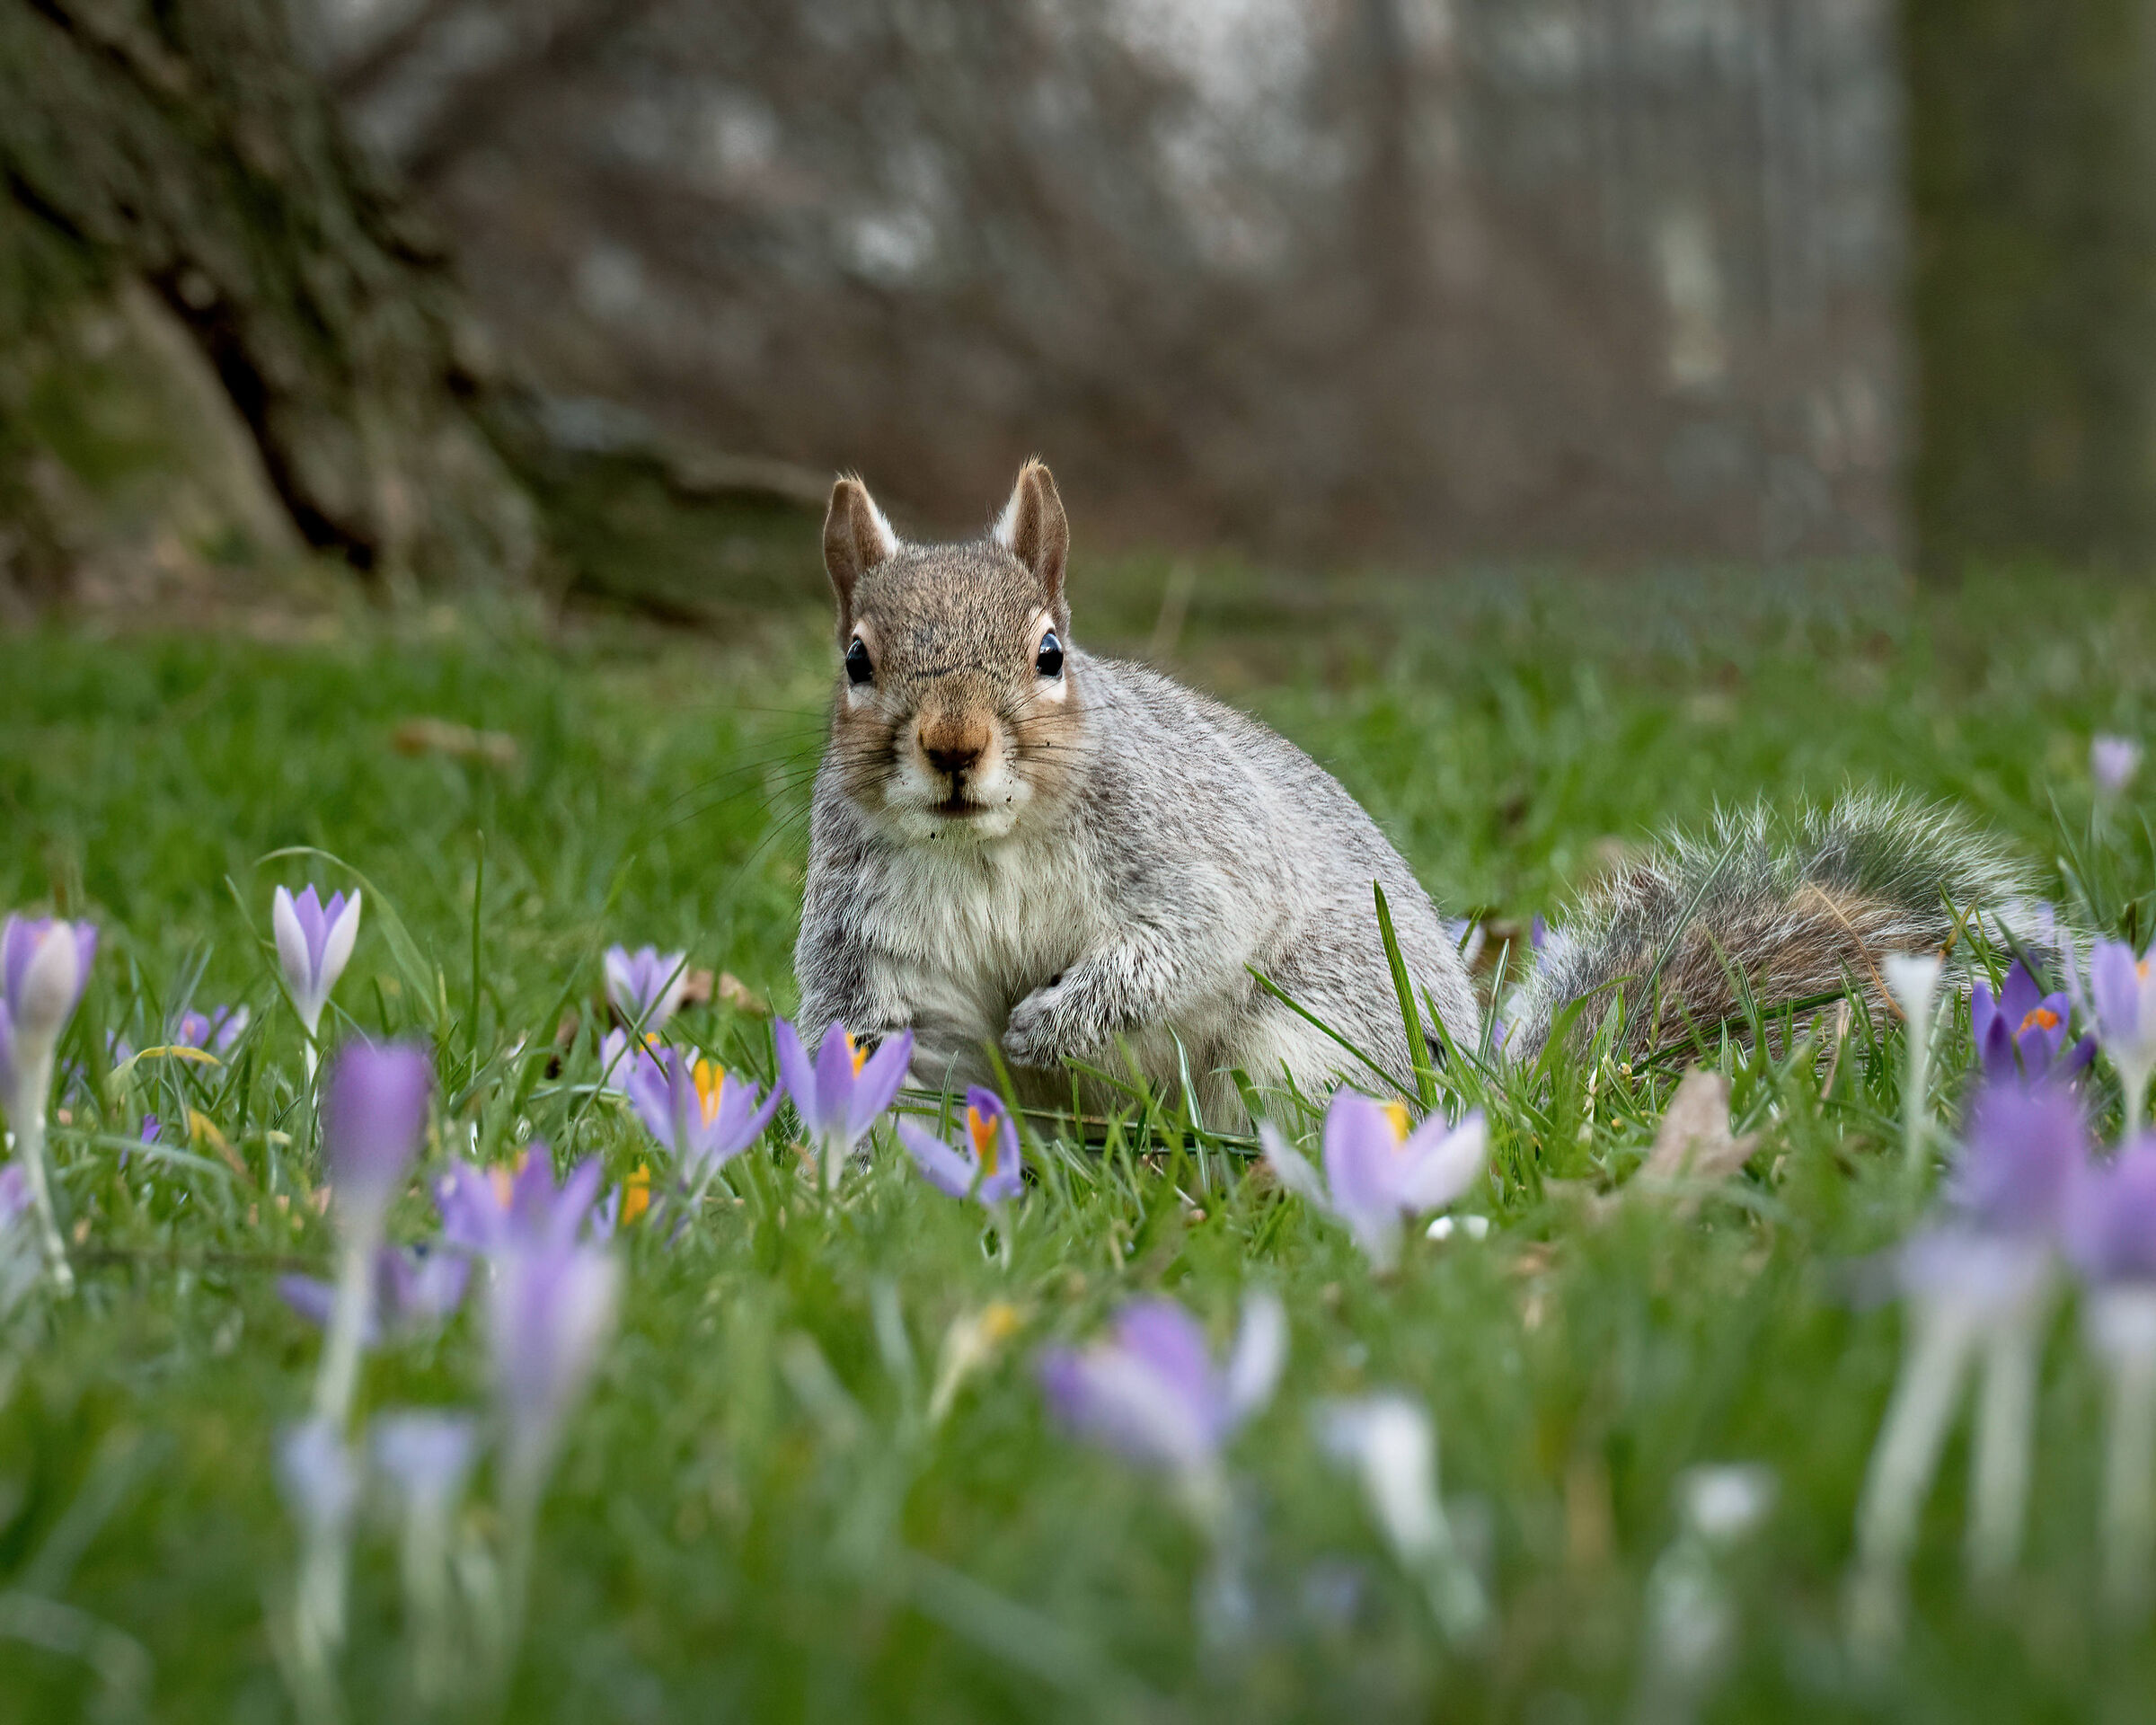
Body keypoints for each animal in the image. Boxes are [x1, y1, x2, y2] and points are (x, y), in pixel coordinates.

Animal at [794, 461, 2059, 1120]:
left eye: (1050, 652)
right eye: (855, 660)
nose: (954, 746)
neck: (986, 845)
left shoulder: (1185, 846)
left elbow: (1189, 937)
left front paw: (1051, 1019)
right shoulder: (873, 942)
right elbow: (875, 1044)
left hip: (1307, 1047)